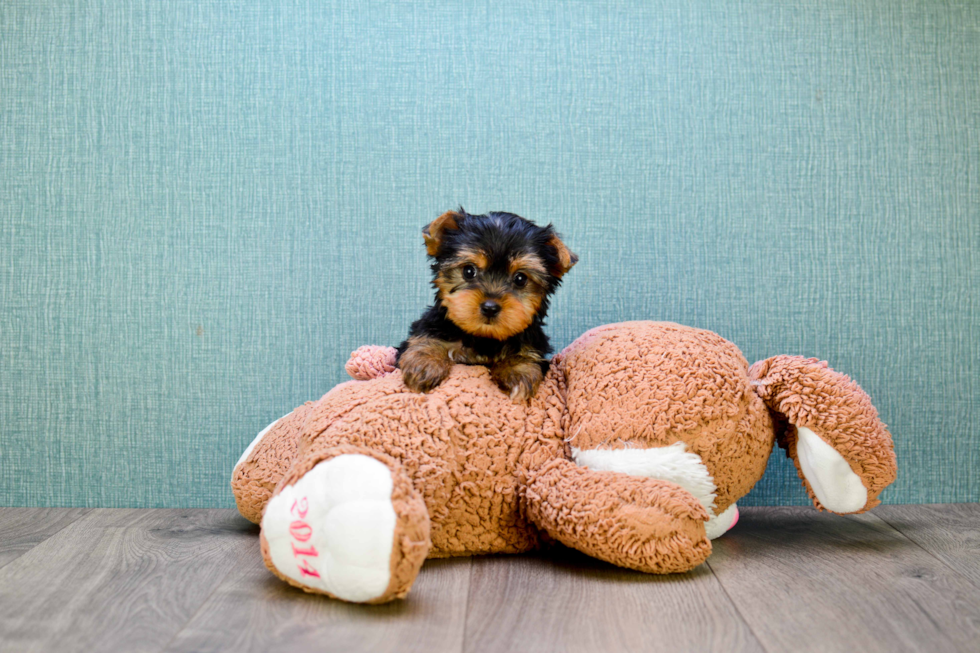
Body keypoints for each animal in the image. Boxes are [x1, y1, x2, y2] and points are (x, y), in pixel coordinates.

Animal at [396, 209, 576, 402]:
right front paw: (425, 363)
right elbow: (426, 338)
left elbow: (524, 353)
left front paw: (518, 371)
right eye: (468, 271)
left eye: (520, 279)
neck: (483, 337)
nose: (490, 307)